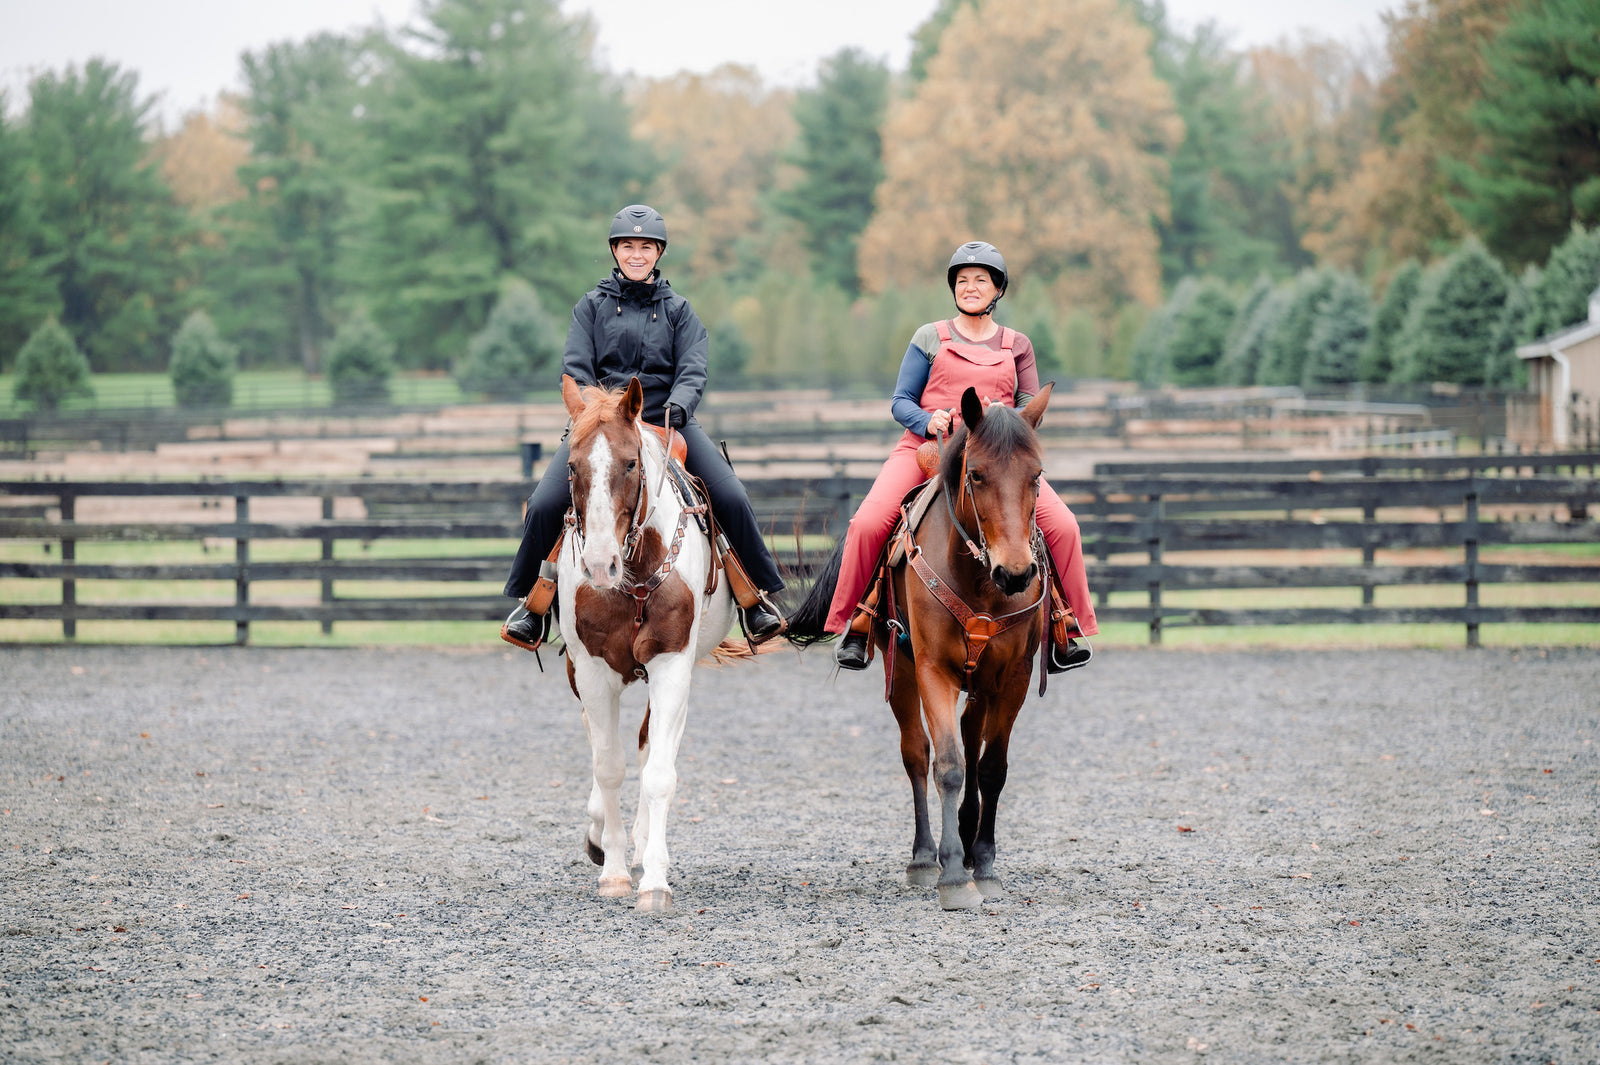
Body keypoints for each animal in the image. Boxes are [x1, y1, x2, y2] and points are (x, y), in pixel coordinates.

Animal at [556, 370, 736, 901]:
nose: (599, 565)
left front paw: (653, 877)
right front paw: (613, 869)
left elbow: (657, 773)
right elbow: (608, 766)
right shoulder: (592, 671)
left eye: (631, 462)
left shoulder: (671, 664)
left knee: (654, 746)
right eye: (571, 466)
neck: (633, 576)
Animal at [790, 382, 1062, 901]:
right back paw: (923, 857)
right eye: (976, 475)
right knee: (917, 753)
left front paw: (984, 863)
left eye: (1037, 476)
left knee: (973, 745)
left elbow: (991, 767)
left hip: (980, 684)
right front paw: (953, 873)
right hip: (902, 672)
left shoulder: (1013, 678)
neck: (980, 582)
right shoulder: (933, 669)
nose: (1016, 573)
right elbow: (948, 765)